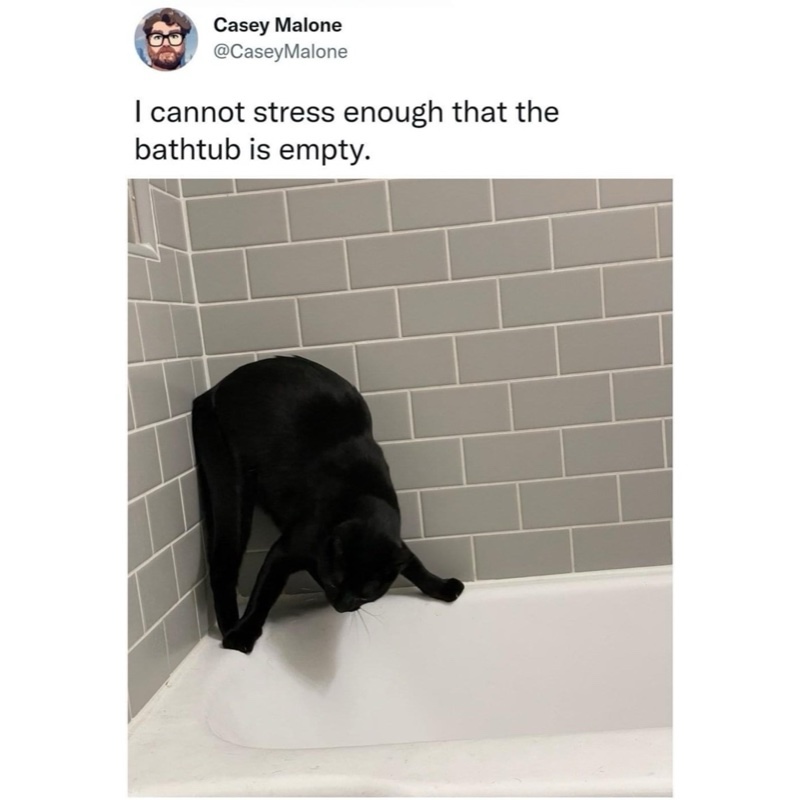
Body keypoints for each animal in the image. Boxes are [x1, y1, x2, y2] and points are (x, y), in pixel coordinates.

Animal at [191, 356, 465, 654]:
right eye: (337, 581)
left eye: (367, 593)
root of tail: (217, 387)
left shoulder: (394, 544)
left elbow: (414, 563)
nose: (343, 606)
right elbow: (264, 592)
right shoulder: (285, 550)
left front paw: (441, 586)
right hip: (231, 482)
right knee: (223, 563)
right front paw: (245, 633)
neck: (365, 498)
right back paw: (231, 628)